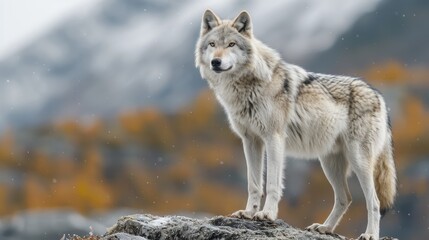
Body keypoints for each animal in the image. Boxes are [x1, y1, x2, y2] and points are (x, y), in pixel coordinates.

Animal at [196, 9, 396, 240]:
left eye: (231, 44)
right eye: (212, 44)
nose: (216, 62)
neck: (246, 86)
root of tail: (378, 96)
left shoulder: (273, 139)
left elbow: (272, 184)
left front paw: (267, 214)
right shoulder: (251, 141)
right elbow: (253, 184)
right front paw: (248, 213)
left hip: (359, 161)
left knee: (374, 201)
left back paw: (369, 234)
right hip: (329, 163)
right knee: (345, 198)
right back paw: (324, 228)